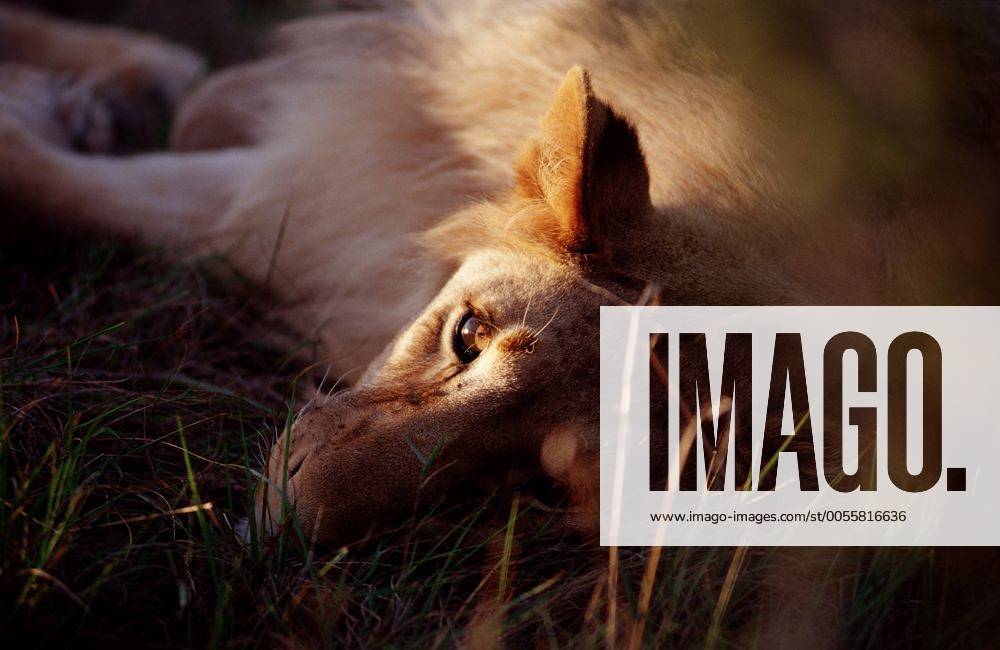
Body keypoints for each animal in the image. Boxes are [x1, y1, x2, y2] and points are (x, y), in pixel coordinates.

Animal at [2, 1, 998, 645]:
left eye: (536, 487)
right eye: (467, 336)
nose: (276, 532)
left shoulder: (290, 200)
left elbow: (48, 174)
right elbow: (204, 98)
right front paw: (111, 94)